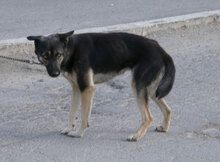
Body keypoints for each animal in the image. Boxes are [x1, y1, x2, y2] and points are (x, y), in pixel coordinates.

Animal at [27, 29, 175, 141]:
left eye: (58, 55)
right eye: (45, 56)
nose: (55, 73)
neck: (71, 50)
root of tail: (161, 50)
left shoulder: (87, 89)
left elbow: (84, 116)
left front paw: (78, 133)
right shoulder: (77, 89)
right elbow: (72, 112)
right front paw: (69, 128)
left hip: (138, 87)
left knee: (148, 117)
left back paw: (136, 136)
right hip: (152, 90)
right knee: (167, 109)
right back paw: (164, 127)